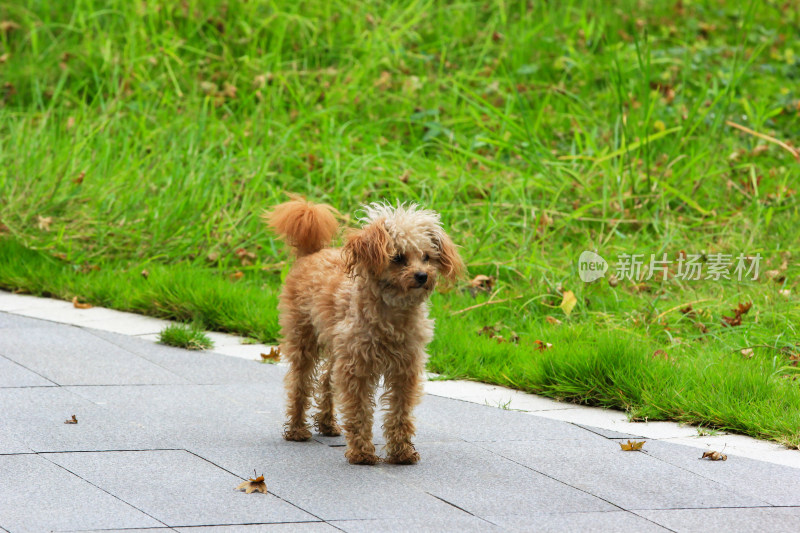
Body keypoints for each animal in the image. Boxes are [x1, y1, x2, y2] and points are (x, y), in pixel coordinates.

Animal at [266, 197, 462, 464]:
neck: (393, 313)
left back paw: (327, 424)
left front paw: (401, 452)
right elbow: (359, 411)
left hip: (338, 347)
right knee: (300, 383)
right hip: (303, 339)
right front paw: (362, 453)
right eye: (398, 257)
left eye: (427, 257)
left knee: (327, 379)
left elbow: (400, 412)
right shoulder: (357, 369)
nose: (422, 276)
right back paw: (297, 429)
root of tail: (312, 253)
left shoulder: (405, 369)